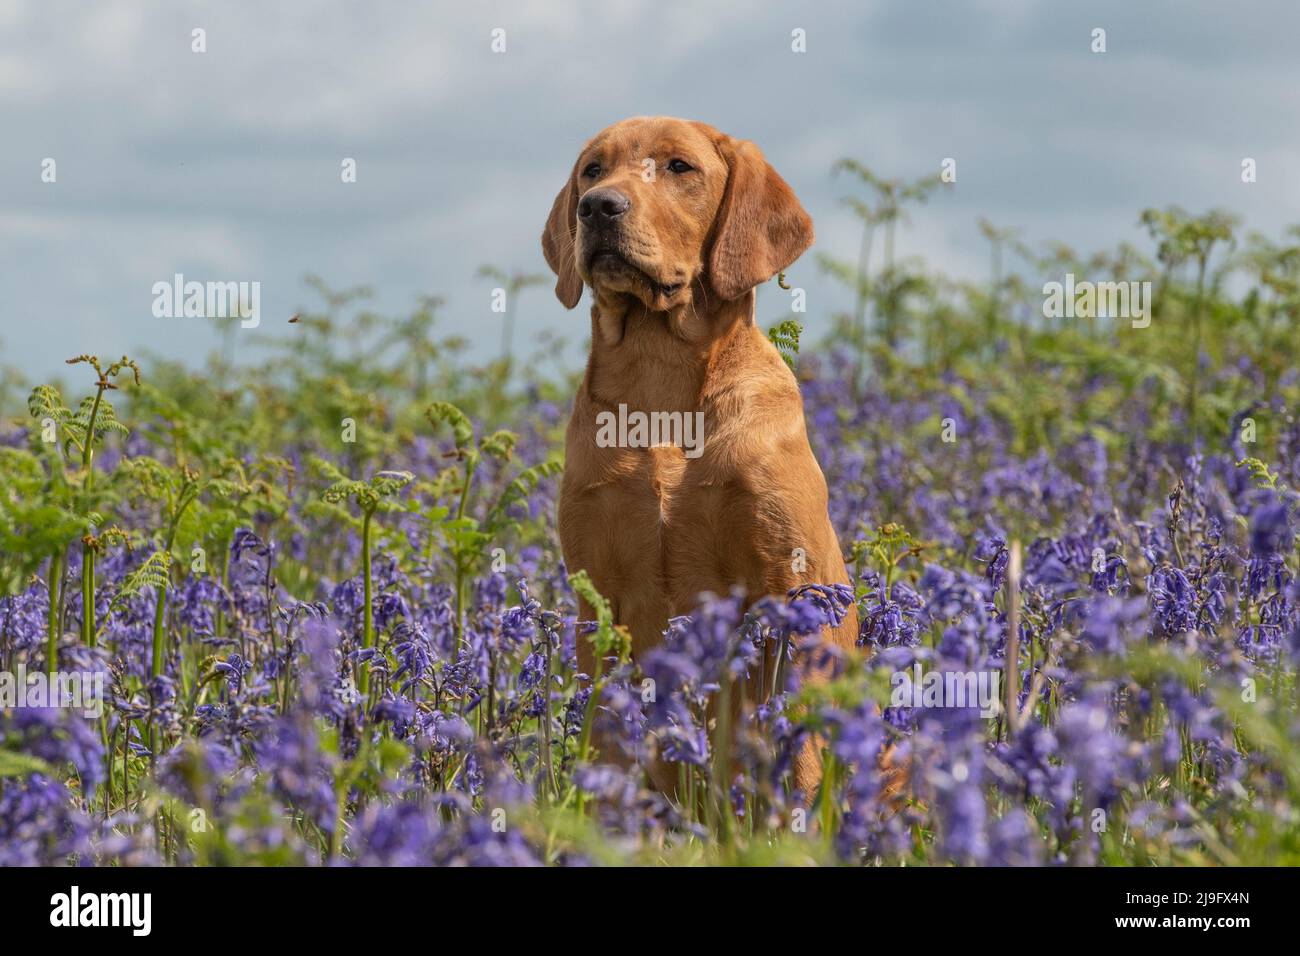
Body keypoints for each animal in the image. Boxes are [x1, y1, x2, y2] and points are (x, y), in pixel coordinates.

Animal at [538, 115, 852, 796]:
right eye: (592, 170)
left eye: (680, 167)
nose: (597, 206)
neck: (660, 384)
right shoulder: (598, 598)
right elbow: (608, 738)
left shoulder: (786, 585)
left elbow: (801, 750)